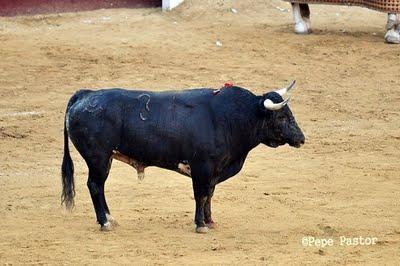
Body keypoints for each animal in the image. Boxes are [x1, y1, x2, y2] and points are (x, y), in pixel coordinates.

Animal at [61, 84, 304, 233]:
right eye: (282, 117)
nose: (302, 138)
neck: (231, 118)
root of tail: (85, 94)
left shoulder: (214, 171)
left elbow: (209, 195)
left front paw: (210, 221)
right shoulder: (202, 168)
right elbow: (200, 195)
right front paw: (200, 224)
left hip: (106, 159)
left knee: (100, 187)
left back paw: (110, 218)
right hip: (98, 158)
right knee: (94, 185)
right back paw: (104, 222)